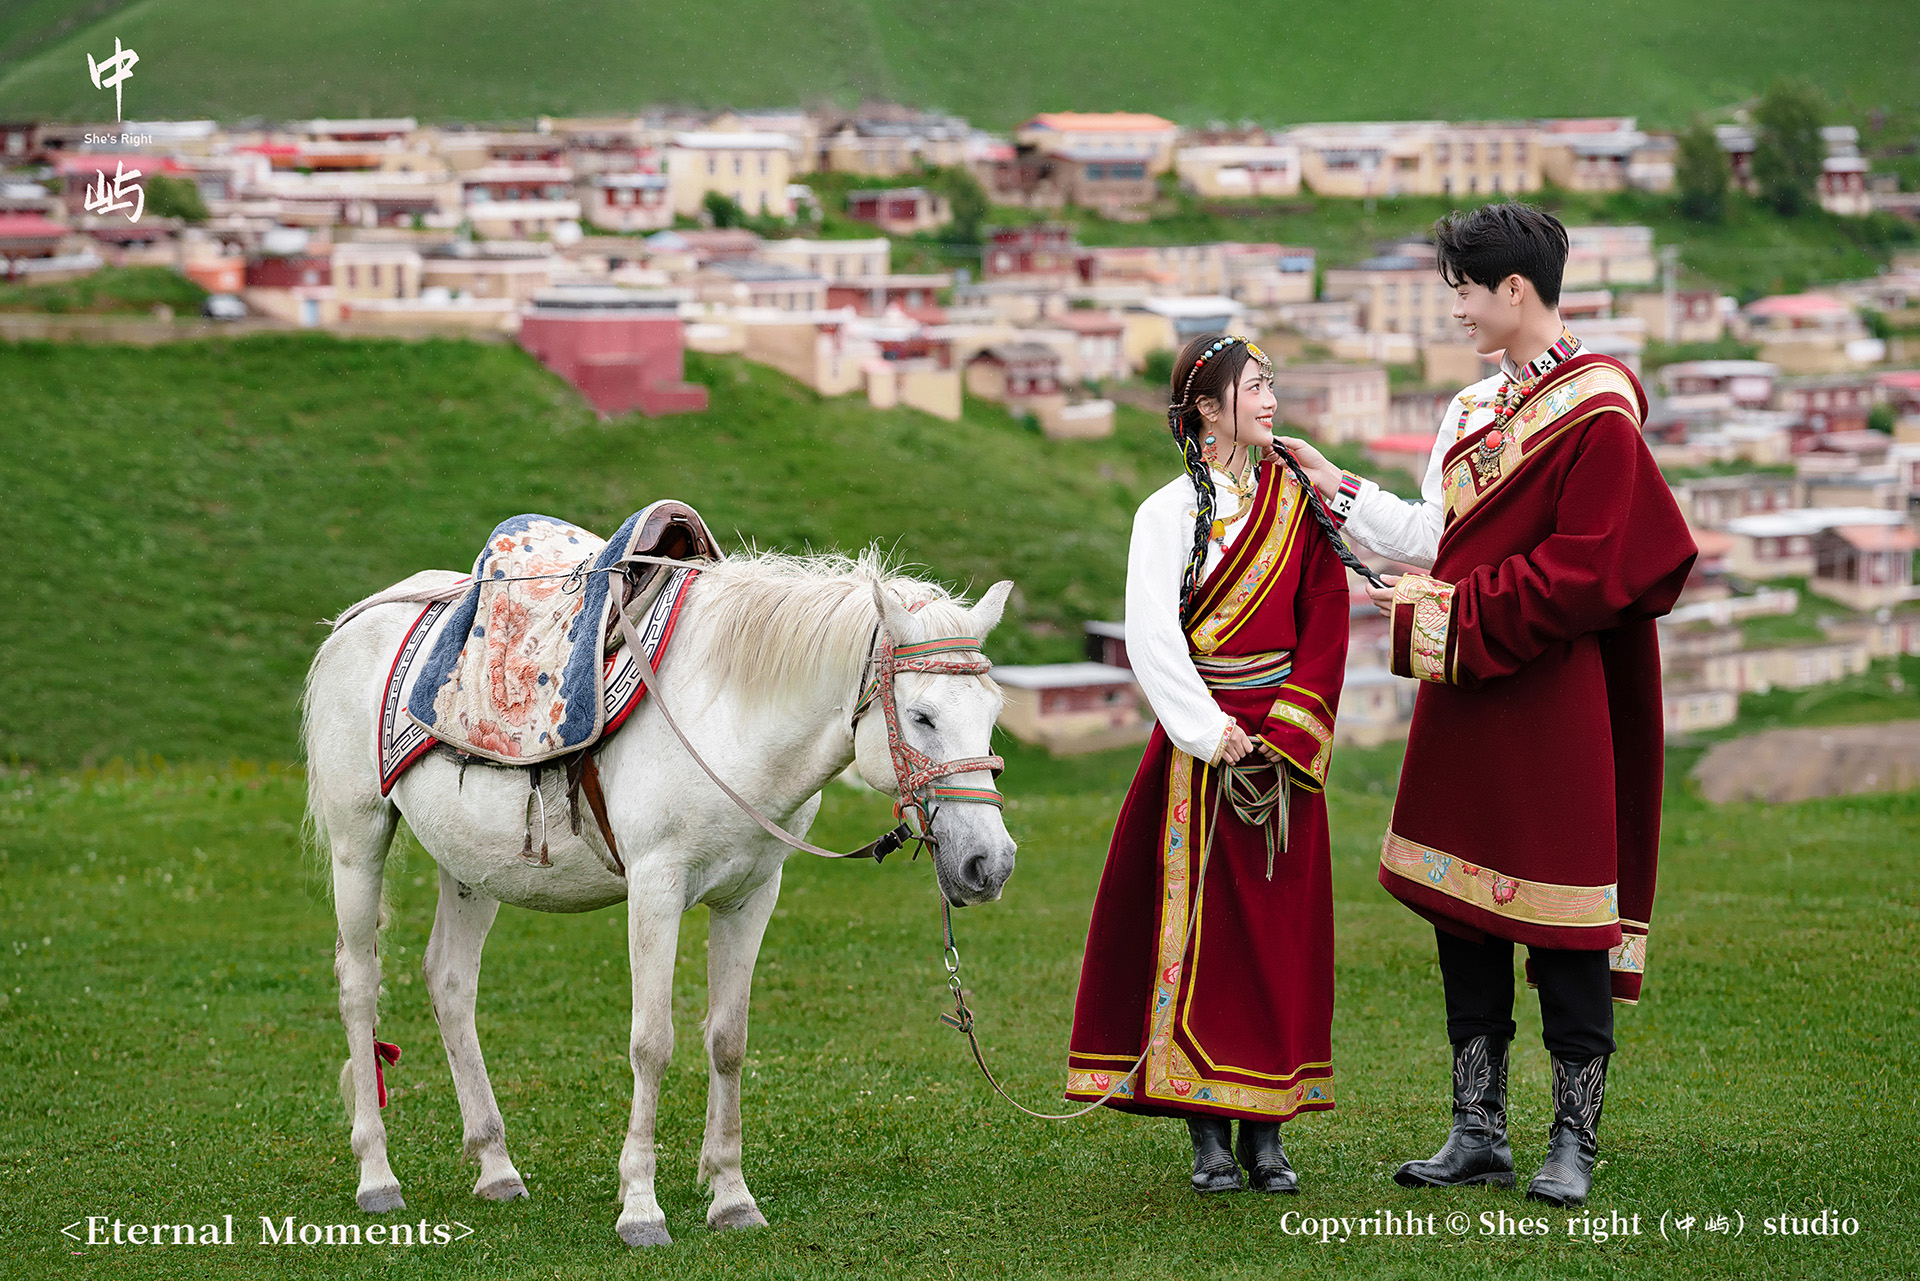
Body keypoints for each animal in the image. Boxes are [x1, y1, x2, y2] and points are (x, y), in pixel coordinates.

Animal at [299, 549, 1021, 1244]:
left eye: (992, 713)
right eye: (922, 716)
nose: (990, 863)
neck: (726, 724)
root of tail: (356, 620)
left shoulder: (751, 897)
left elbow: (728, 1040)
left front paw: (731, 1197)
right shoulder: (656, 889)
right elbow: (652, 1042)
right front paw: (642, 1210)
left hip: (471, 866)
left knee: (450, 980)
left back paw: (496, 1166)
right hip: (357, 839)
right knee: (359, 985)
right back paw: (377, 1176)